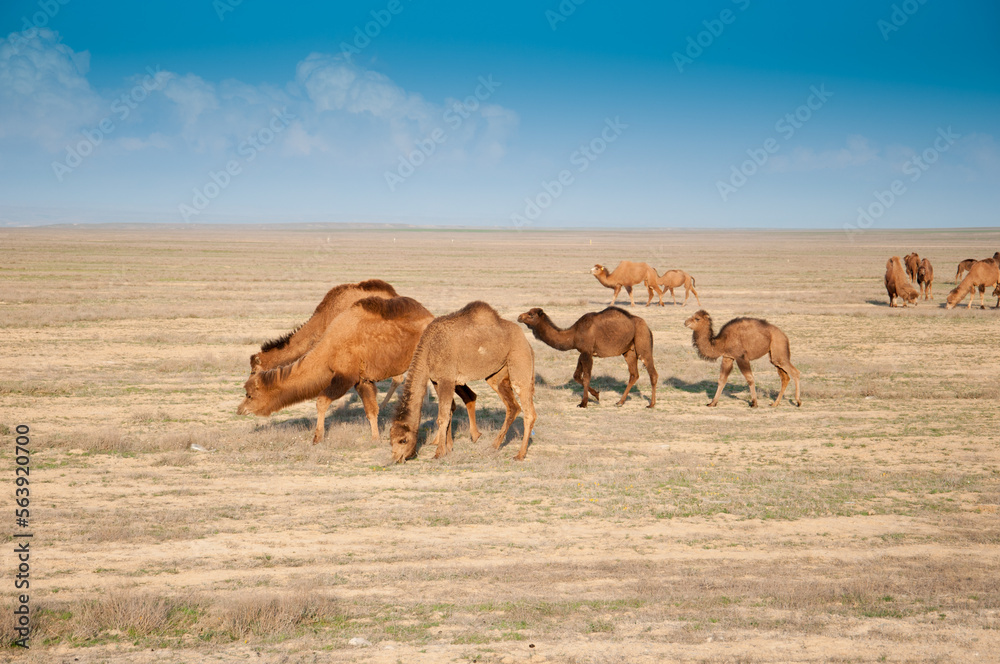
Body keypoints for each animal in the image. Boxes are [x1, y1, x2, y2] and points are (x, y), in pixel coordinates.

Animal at [239, 296, 479, 444]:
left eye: (249, 394)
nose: (240, 409)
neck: (329, 348)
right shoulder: (362, 380)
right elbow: (371, 410)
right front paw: (375, 438)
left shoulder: (345, 376)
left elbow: (321, 401)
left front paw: (317, 437)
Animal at [390, 301, 537, 463]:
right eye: (390, 440)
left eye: (403, 440)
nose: (396, 458)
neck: (428, 349)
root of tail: (526, 341)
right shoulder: (436, 380)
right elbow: (448, 411)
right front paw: (448, 448)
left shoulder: (446, 379)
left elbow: (442, 417)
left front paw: (439, 453)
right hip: (496, 375)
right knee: (513, 406)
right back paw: (493, 446)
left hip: (520, 360)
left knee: (529, 411)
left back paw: (520, 454)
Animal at [517, 307, 656, 408]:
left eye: (531, 314)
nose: (519, 317)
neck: (573, 334)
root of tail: (647, 326)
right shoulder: (582, 352)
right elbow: (577, 376)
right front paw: (596, 395)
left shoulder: (587, 352)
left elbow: (586, 377)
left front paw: (583, 403)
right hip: (629, 351)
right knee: (634, 374)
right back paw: (620, 402)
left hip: (642, 341)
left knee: (652, 373)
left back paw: (651, 404)